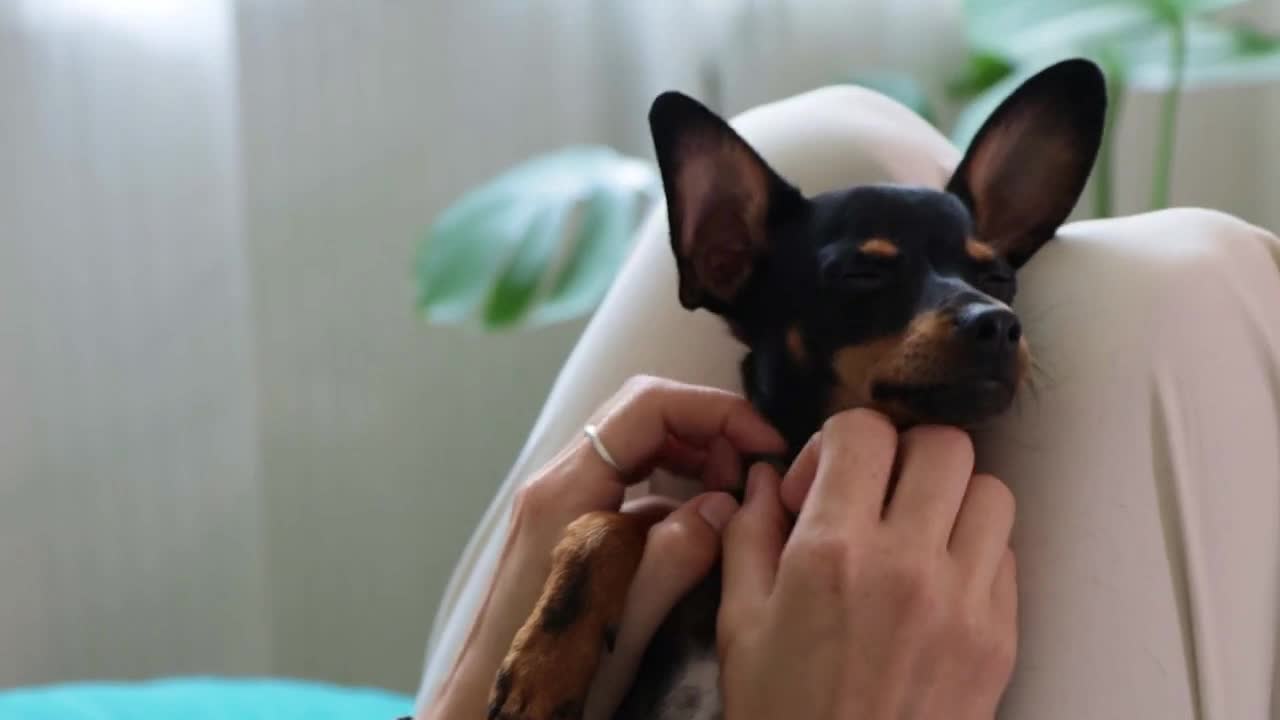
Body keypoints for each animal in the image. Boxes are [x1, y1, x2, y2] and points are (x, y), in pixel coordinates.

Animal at [483, 57, 1105, 717]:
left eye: (999, 279)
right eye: (862, 274)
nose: (998, 323)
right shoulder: (703, 518)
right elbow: (607, 522)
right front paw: (544, 663)